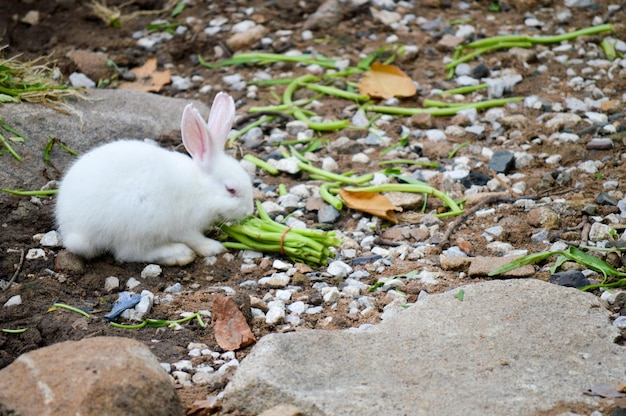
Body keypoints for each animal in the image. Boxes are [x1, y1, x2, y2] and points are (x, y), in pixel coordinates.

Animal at [54, 92, 254, 264]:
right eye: (231, 190)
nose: (249, 212)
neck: (201, 188)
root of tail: (72, 230)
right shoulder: (185, 226)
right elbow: (195, 239)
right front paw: (213, 247)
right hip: (137, 223)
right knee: (129, 253)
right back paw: (178, 254)